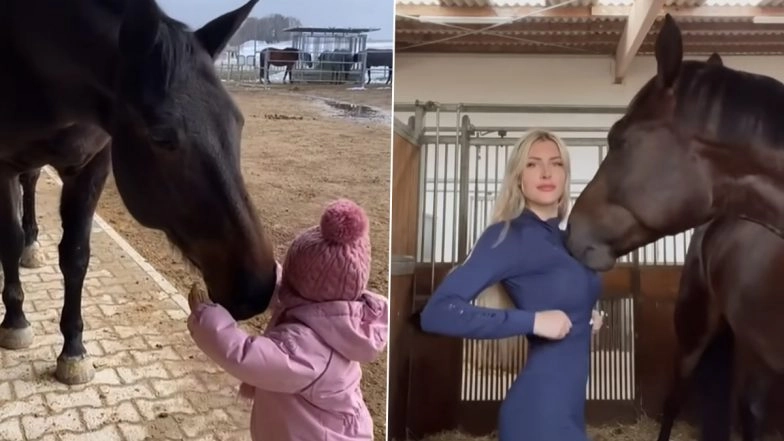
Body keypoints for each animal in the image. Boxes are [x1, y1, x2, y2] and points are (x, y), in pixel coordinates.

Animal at [2, 0, 279, 386]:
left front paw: (73, 350)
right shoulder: (1, 164)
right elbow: (9, 241)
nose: (257, 285)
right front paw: (15, 321)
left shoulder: (94, 166)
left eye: (237, 122)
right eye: (161, 136)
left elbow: (75, 256)